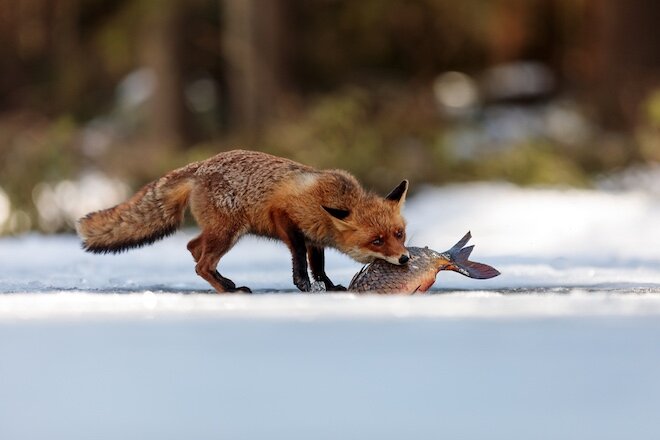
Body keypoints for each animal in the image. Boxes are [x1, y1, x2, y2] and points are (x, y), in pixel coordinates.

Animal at [77, 150, 410, 293]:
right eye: (377, 240)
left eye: (399, 234)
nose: (405, 259)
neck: (328, 196)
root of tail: (200, 165)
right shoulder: (284, 217)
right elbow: (299, 258)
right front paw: (302, 283)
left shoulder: (315, 237)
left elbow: (319, 266)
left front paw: (328, 286)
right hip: (229, 232)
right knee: (200, 263)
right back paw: (227, 290)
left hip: (221, 232)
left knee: (193, 247)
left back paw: (224, 282)